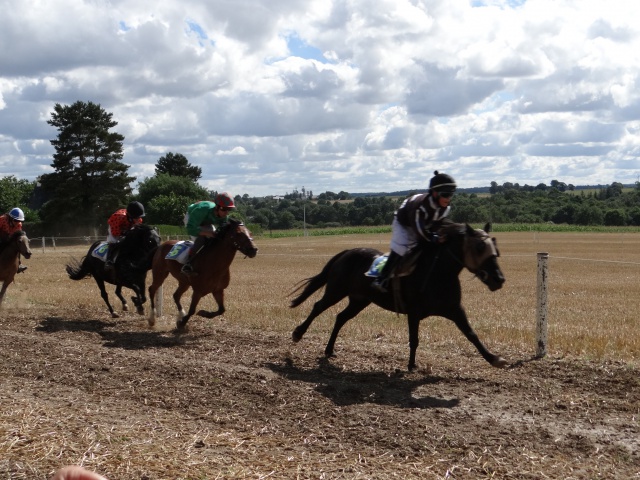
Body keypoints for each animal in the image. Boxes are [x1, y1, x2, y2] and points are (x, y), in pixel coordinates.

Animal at [288, 223, 504, 374]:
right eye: (479, 247)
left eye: (495, 247)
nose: (499, 279)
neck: (437, 273)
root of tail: (347, 252)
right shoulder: (414, 312)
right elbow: (414, 339)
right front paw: (411, 365)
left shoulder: (455, 309)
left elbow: (471, 334)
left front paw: (494, 358)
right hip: (336, 290)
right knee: (318, 306)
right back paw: (298, 333)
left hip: (359, 300)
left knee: (340, 317)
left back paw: (329, 350)